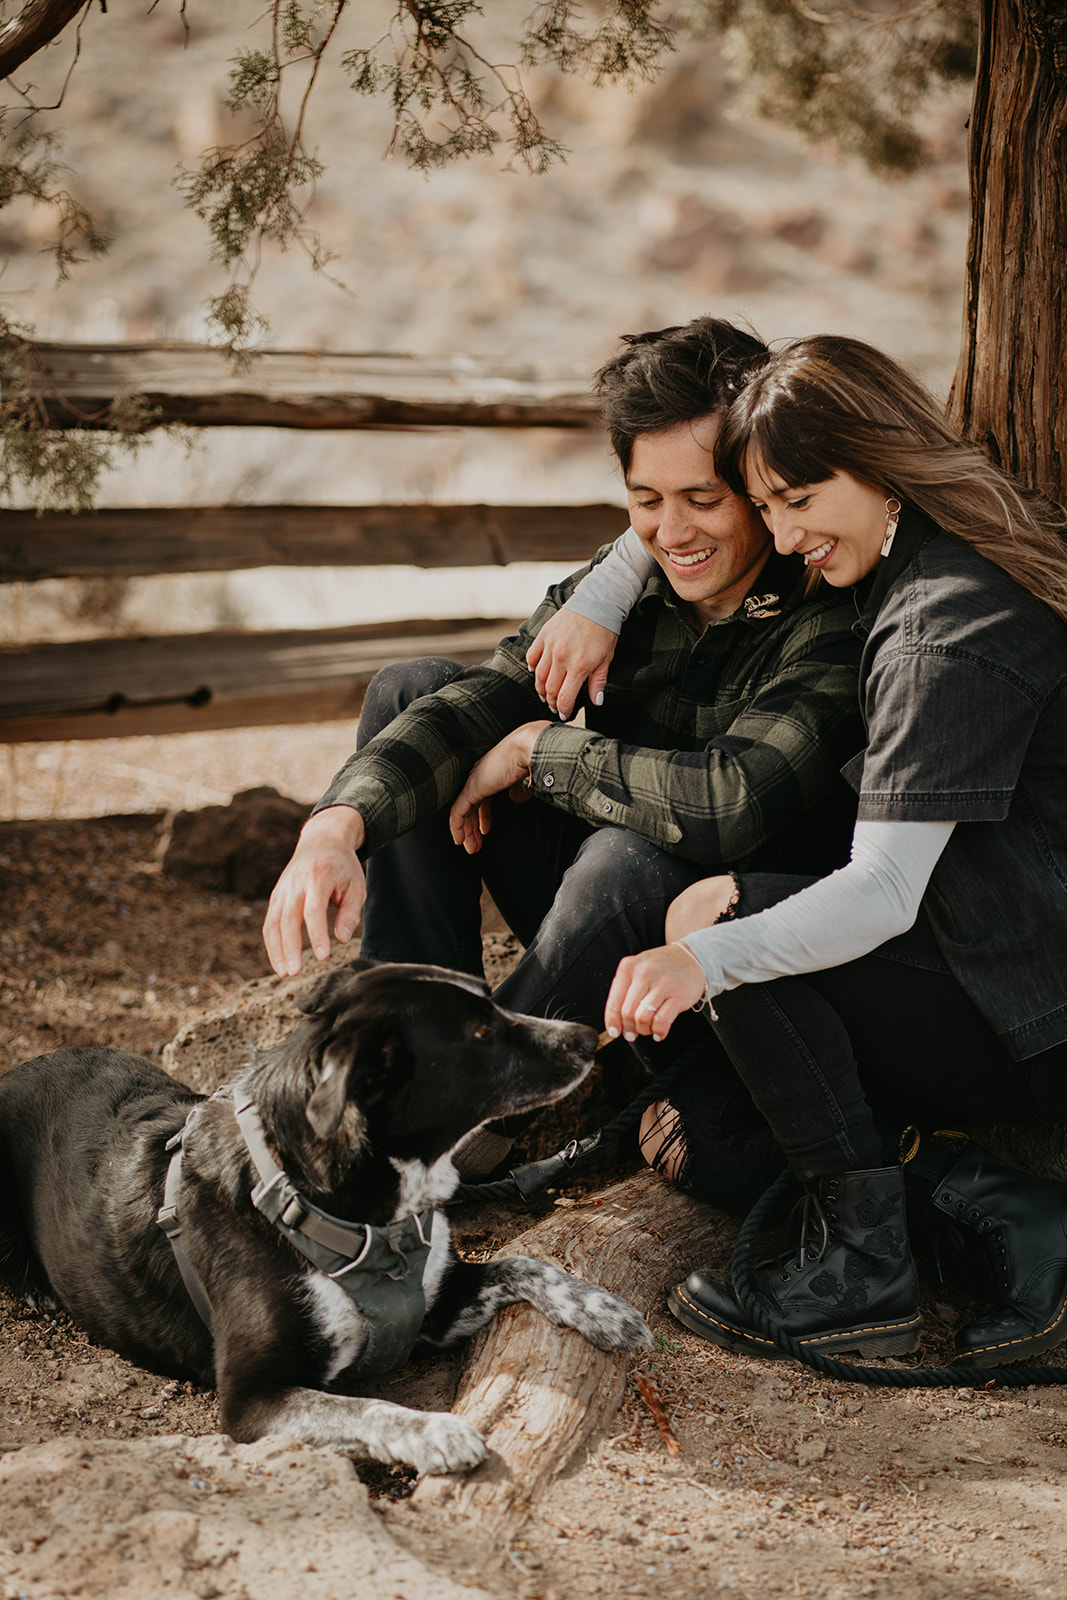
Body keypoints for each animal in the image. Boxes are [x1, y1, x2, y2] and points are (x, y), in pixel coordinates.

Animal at [0, 960, 652, 1472]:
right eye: (482, 1030)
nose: (589, 1035)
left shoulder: (440, 1306)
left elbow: (522, 1262)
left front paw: (605, 1310)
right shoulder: (252, 1402)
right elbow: (368, 1408)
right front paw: (435, 1430)